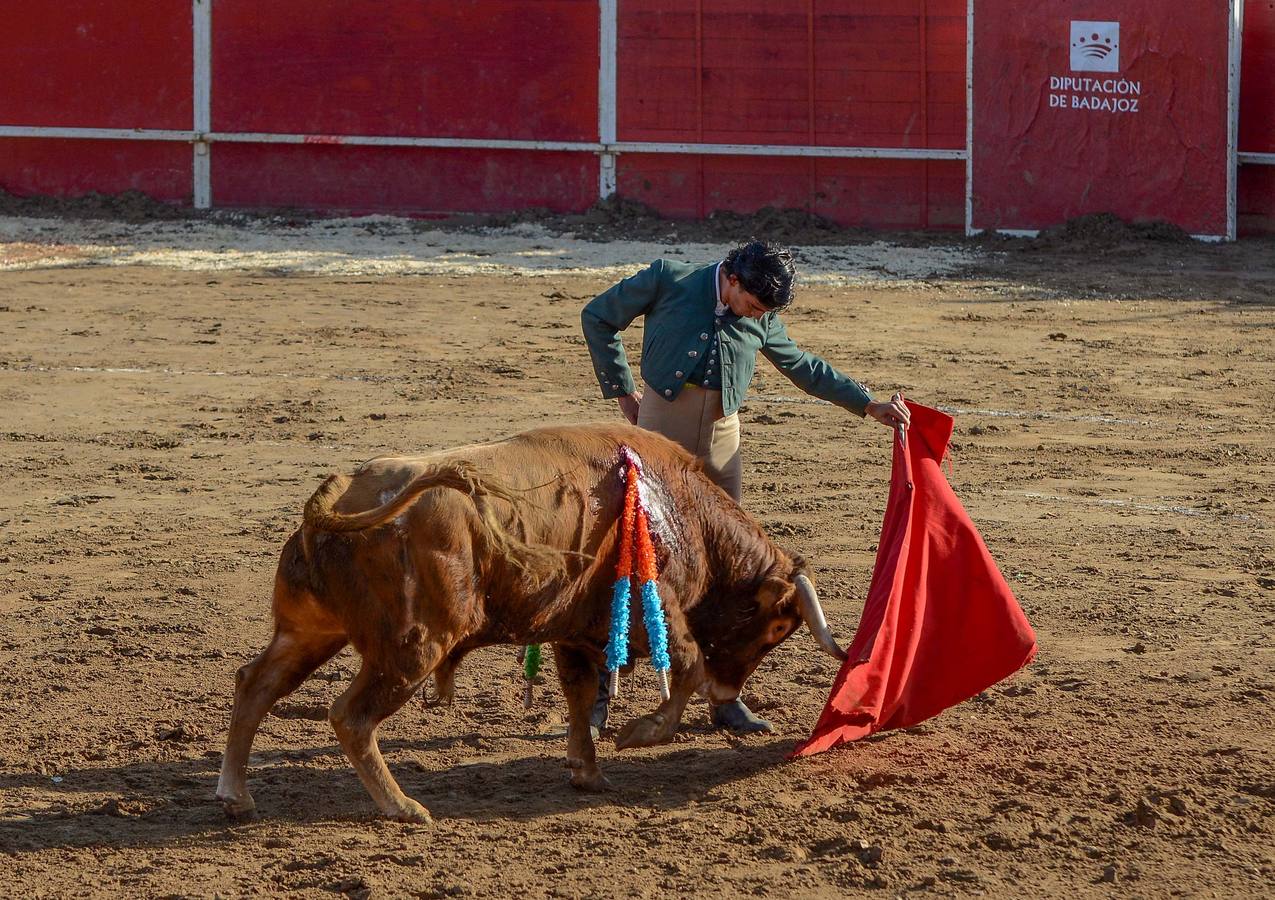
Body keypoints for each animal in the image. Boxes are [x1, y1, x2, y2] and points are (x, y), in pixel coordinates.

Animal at [219, 420, 846, 820]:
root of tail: (344, 497)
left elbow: (580, 694)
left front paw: (586, 770)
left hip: (309, 631)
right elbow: (685, 669)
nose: (728, 692)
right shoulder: (657, 612)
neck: (678, 507)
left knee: (254, 684)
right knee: (350, 717)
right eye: (775, 629)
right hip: (411, 646)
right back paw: (401, 807)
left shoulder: (578, 631)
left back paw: (237, 796)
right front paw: (639, 733)